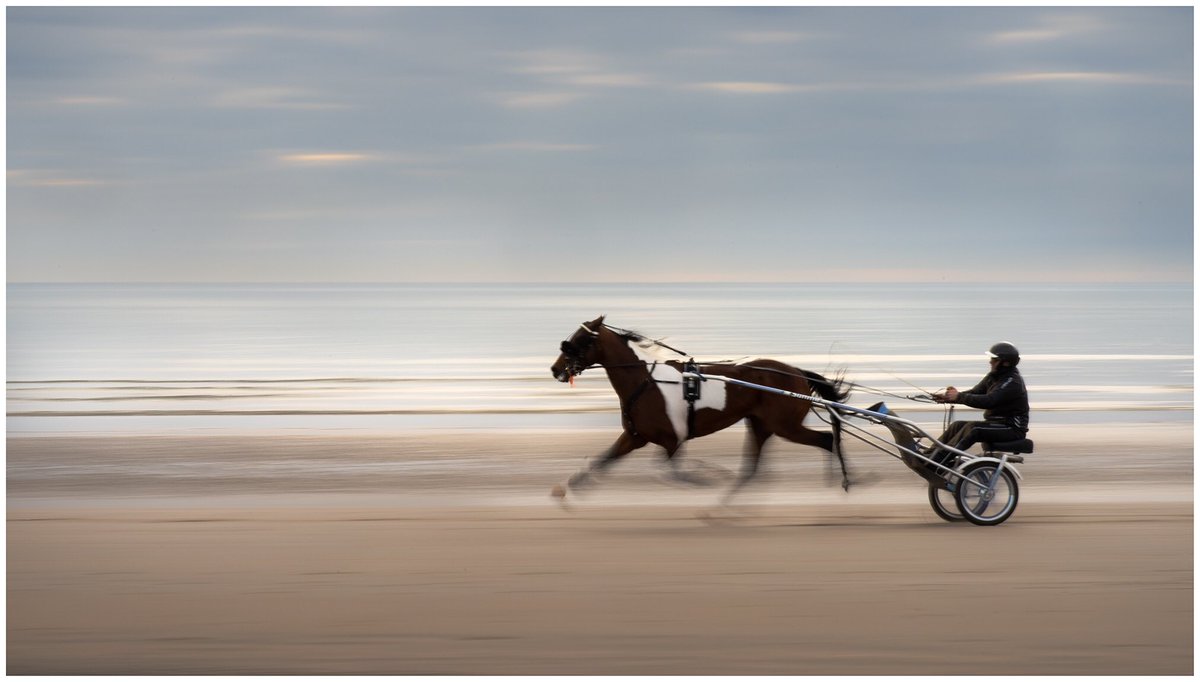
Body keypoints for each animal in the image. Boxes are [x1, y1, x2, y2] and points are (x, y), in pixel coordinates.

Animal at [549, 315, 853, 505]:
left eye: (579, 340)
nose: (554, 369)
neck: (645, 382)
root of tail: (797, 372)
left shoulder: (672, 440)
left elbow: (669, 471)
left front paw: (709, 476)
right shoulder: (635, 437)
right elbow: (604, 459)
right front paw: (569, 488)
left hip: (784, 425)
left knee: (827, 439)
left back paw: (839, 482)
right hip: (761, 424)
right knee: (753, 468)